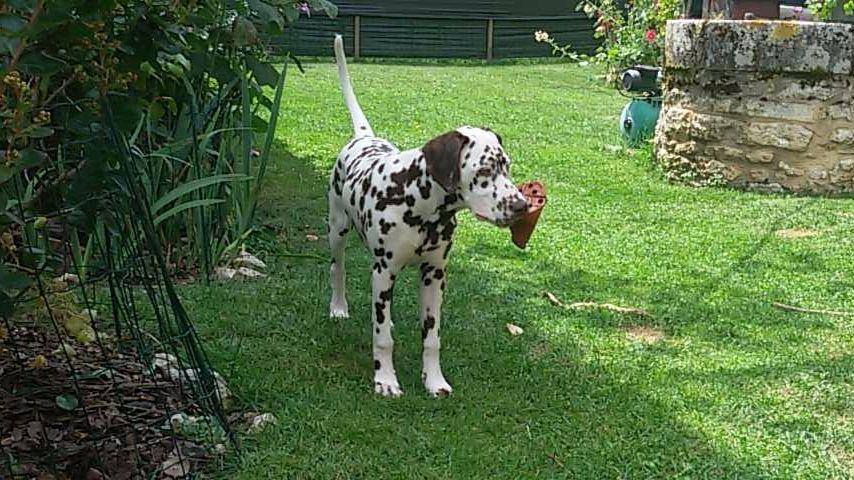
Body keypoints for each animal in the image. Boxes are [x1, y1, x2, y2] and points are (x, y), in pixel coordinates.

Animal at [328, 35, 529, 397]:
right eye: (484, 170)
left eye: (506, 166)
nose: (522, 206)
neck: (418, 202)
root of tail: (364, 136)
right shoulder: (383, 270)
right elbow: (383, 340)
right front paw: (385, 379)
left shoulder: (434, 275)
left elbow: (431, 338)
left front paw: (434, 380)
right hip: (337, 231)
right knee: (338, 270)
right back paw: (338, 307)